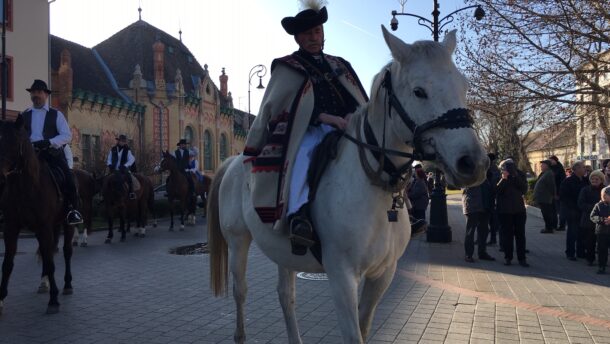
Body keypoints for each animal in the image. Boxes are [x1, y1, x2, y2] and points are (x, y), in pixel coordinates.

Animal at [0, 119, 75, 314]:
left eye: (14, 142)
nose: (0, 177)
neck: (25, 187)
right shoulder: (11, 228)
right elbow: (8, 263)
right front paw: (1, 298)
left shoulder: (43, 227)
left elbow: (49, 261)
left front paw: (53, 300)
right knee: (49, 251)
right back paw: (44, 282)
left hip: (67, 225)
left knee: (66, 252)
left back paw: (67, 285)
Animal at [207, 26, 486, 344]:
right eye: (419, 91)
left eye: (463, 86)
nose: (474, 163)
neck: (377, 193)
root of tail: (233, 161)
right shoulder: (342, 277)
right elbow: (354, 335)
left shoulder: (383, 275)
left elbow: (364, 327)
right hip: (238, 241)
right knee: (240, 292)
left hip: (282, 250)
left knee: (285, 296)